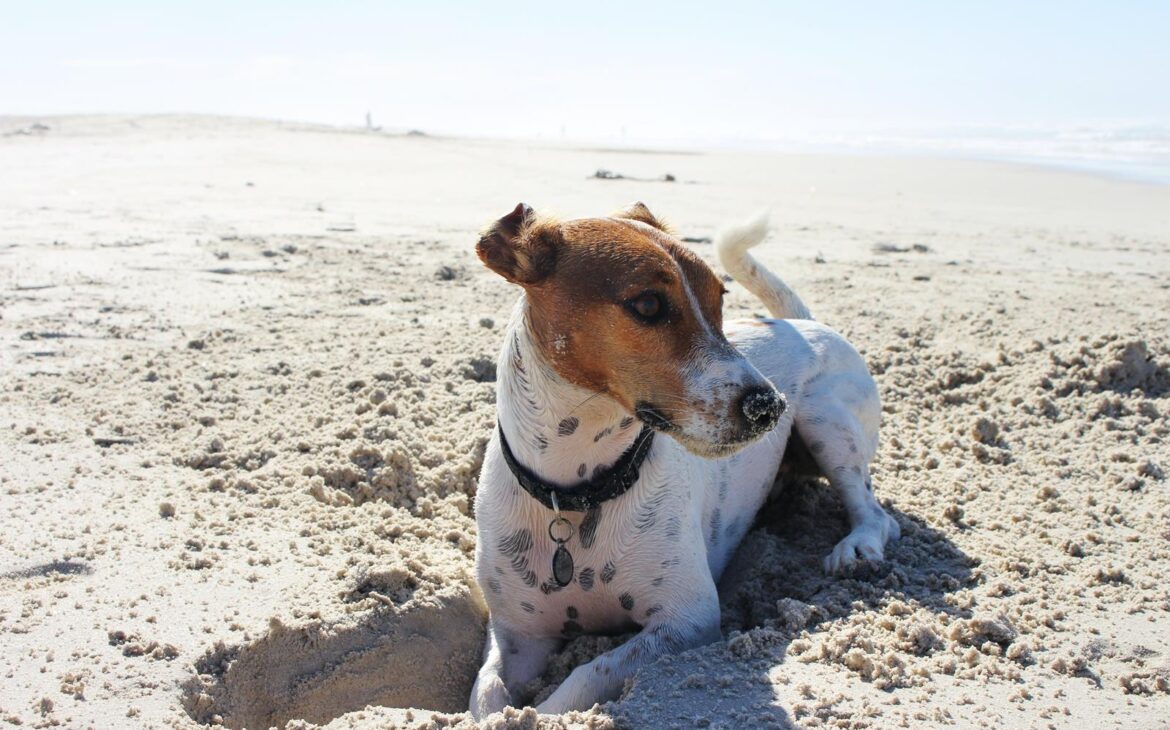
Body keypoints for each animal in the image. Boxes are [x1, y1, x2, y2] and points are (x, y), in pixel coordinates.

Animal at [465, 202, 893, 715]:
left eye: (720, 299)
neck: (578, 492)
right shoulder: (517, 636)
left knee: (875, 511)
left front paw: (545, 714)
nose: (769, 406)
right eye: (648, 305)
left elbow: (585, 677)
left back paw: (857, 547)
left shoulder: (687, 620)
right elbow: (486, 692)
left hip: (828, 421)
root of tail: (808, 323)